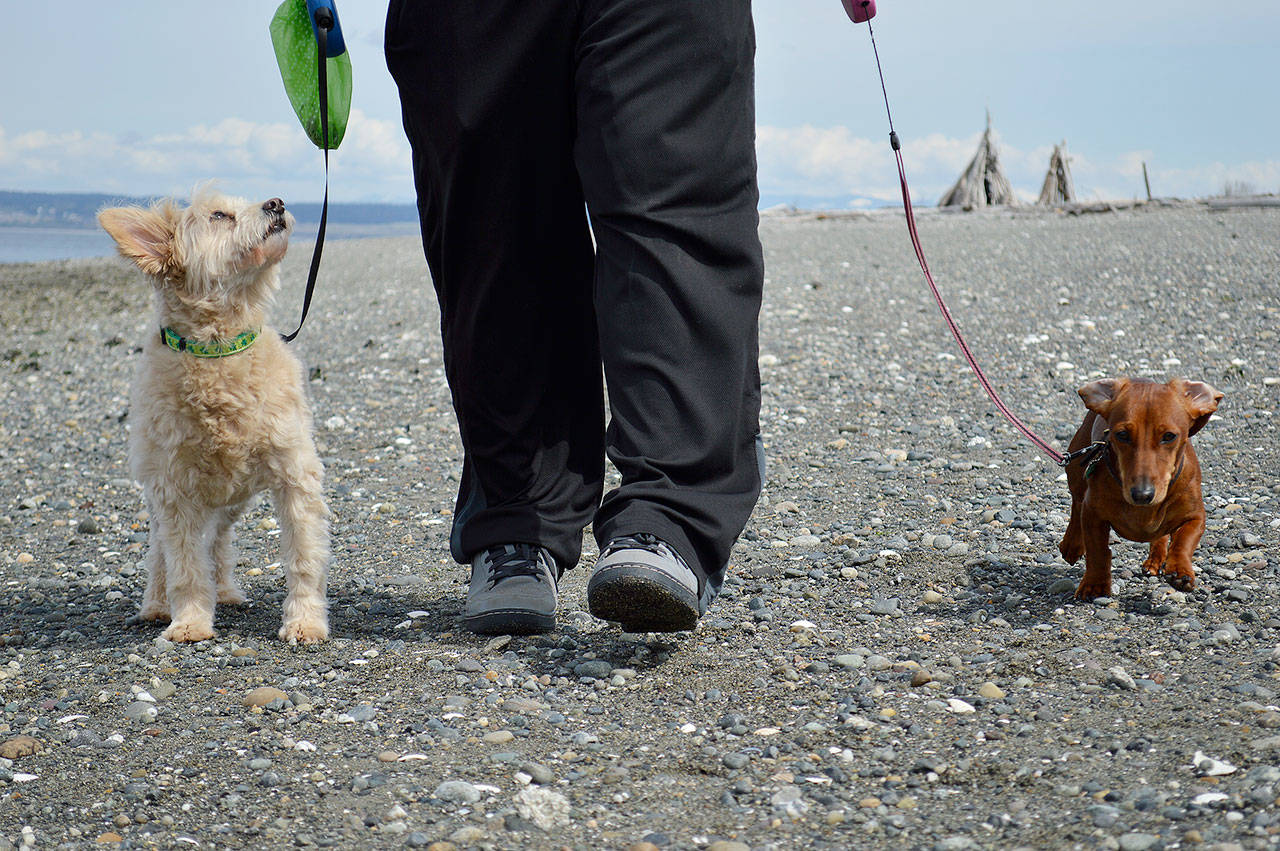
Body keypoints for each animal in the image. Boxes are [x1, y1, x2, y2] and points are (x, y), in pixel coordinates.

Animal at [100, 189, 330, 644]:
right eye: (220, 215)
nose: (276, 202)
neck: (219, 352)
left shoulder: (295, 474)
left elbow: (303, 557)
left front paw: (305, 621)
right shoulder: (173, 491)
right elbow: (184, 565)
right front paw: (189, 622)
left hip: (232, 500)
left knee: (218, 542)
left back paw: (224, 590)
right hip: (164, 496)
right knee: (162, 552)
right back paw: (156, 605)